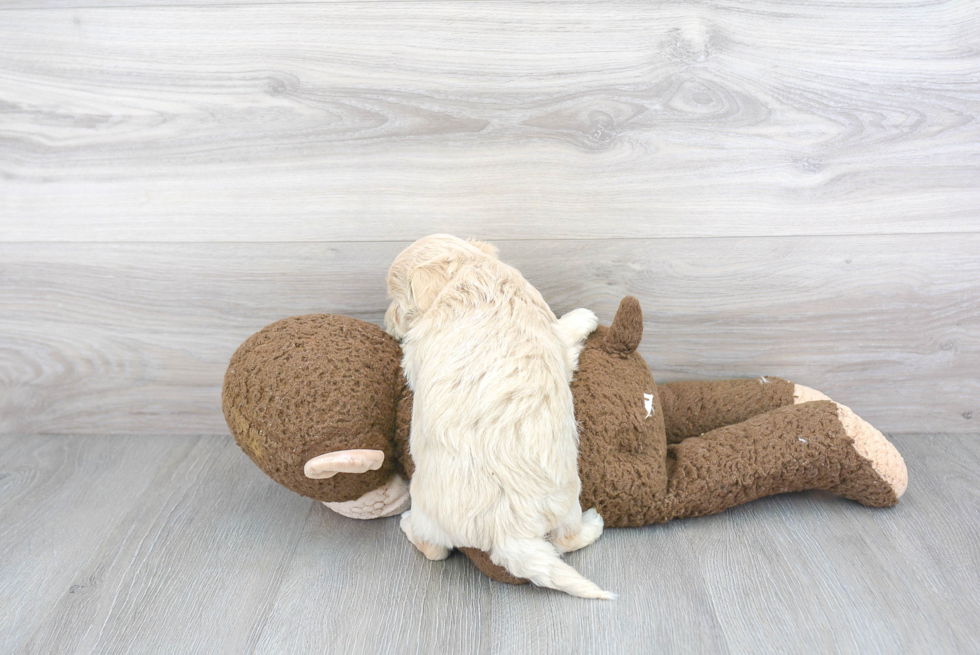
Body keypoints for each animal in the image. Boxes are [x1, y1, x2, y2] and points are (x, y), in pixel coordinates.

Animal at [384, 236, 608, 600]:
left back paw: (406, 524)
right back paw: (594, 524)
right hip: (566, 500)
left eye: (398, 301)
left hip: (426, 509)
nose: (386, 321)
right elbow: (563, 333)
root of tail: (508, 532)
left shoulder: (415, 354)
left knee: (434, 549)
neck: (471, 271)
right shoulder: (552, 334)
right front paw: (585, 317)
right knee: (567, 539)